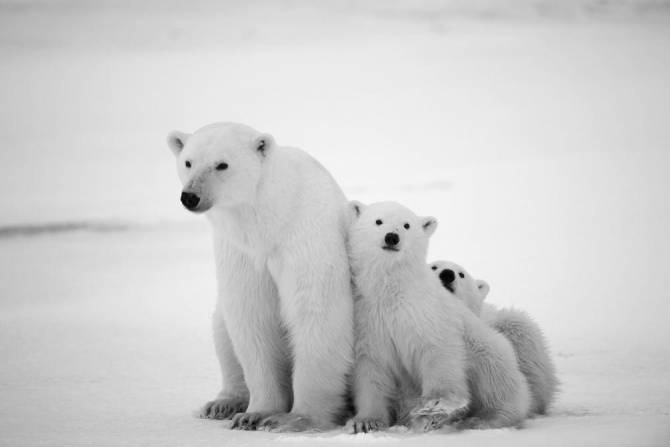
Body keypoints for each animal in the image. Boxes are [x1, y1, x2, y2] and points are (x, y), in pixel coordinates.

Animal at [167, 124, 356, 432]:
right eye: (188, 162)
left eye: (222, 164)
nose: (190, 197)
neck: (269, 220)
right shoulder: (240, 252)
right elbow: (252, 318)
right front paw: (255, 414)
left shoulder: (305, 238)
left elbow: (316, 312)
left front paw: (295, 418)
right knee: (222, 329)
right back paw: (223, 403)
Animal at [346, 203, 532, 434]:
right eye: (378, 221)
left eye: (406, 225)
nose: (392, 237)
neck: (392, 290)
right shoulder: (368, 319)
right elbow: (372, 368)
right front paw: (366, 422)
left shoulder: (426, 311)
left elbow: (437, 350)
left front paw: (435, 403)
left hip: (489, 349)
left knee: (495, 380)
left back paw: (482, 418)